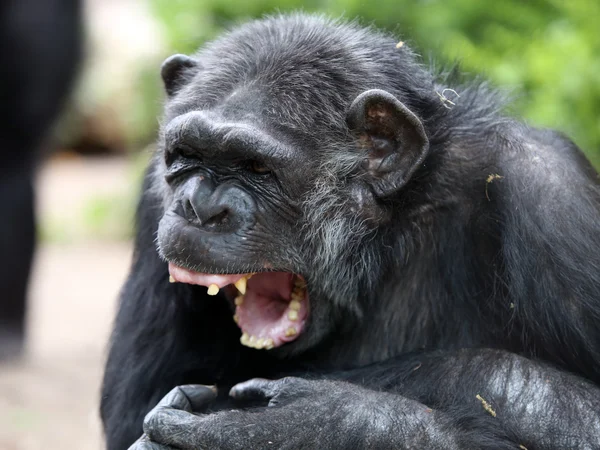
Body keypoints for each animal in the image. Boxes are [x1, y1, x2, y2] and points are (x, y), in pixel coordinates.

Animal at [101, 14, 596, 450]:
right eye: (186, 154)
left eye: (257, 167)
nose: (200, 207)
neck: (390, 233)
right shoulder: (153, 201)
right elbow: (136, 417)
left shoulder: (553, 196)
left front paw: (307, 424)